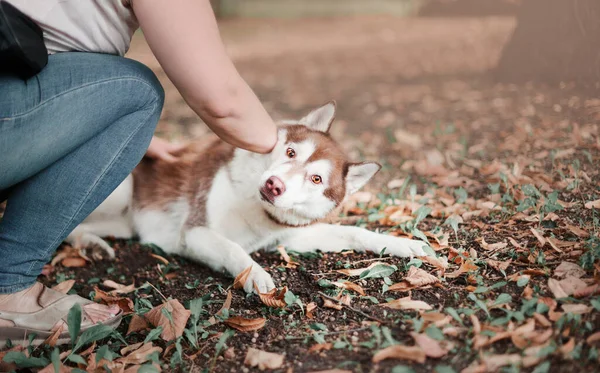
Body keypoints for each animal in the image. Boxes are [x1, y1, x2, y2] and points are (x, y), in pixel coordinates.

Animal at [68, 102, 428, 294]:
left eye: (316, 179)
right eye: (290, 152)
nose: (274, 185)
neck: (256, 208)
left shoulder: (288, 238)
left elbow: (353, 231)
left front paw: (401, 243)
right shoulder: (194, 232)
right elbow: (232, 248)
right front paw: (254, 275)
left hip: (124, 222)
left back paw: (92, 245)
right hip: (122, 189)